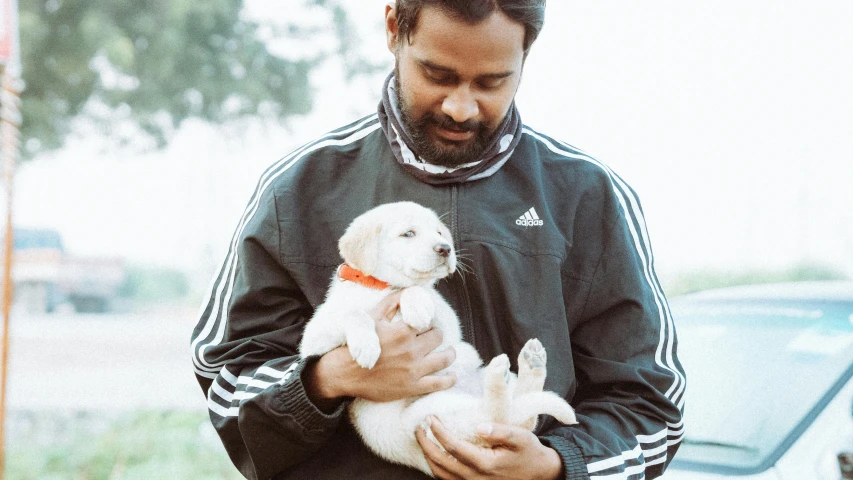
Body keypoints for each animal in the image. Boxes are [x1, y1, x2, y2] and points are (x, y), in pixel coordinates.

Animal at [296, 201, 576, 474]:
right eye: (408, 233)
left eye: (439, 233)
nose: (445, 248)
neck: (384, 288)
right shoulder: (314, 335)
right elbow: (353, 313)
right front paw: (366, 346)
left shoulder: (446, 319)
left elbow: (417, 289)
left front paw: (416, 305)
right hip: (432, 416)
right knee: (509, 417)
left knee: (512, 417)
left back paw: (525, 365)